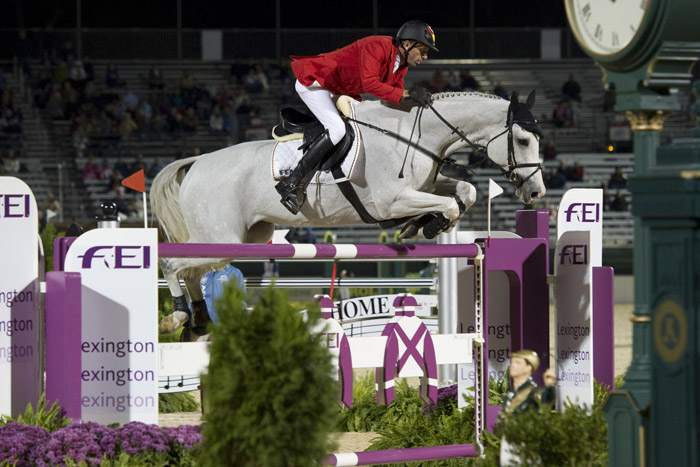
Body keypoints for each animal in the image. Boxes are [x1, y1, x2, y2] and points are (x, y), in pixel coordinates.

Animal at [151, 90, 545, 340]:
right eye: (524, 140)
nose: (536, 193)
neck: (414, 136)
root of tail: (197, 162)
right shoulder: (392, 201)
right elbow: (448, 205)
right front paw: (428, 225)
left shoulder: (426, 186)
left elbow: (466, 192)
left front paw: (422, 225)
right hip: (222, 237)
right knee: (173, 264)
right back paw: (177, 316)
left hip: (246, 238)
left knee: (193, 272)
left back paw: (199, 319)